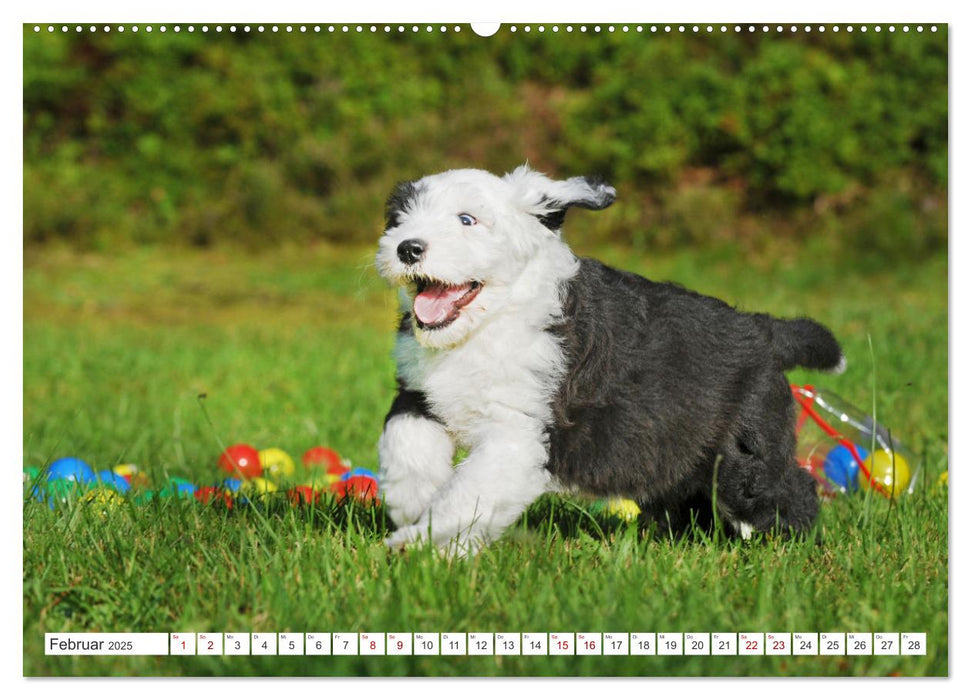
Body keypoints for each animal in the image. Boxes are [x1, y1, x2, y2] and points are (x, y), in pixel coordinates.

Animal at [374, 167, 844, 556]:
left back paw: (788, 549)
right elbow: (406, 445)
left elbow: (467, 493)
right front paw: (414, 506)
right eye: (398, 219)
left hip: (743, 456)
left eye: (467, 220)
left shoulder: (517, 435)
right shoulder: (418, 395)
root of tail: (764, 330)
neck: (489, 326)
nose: (407, 248)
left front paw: (414, 539)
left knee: (790, 491)